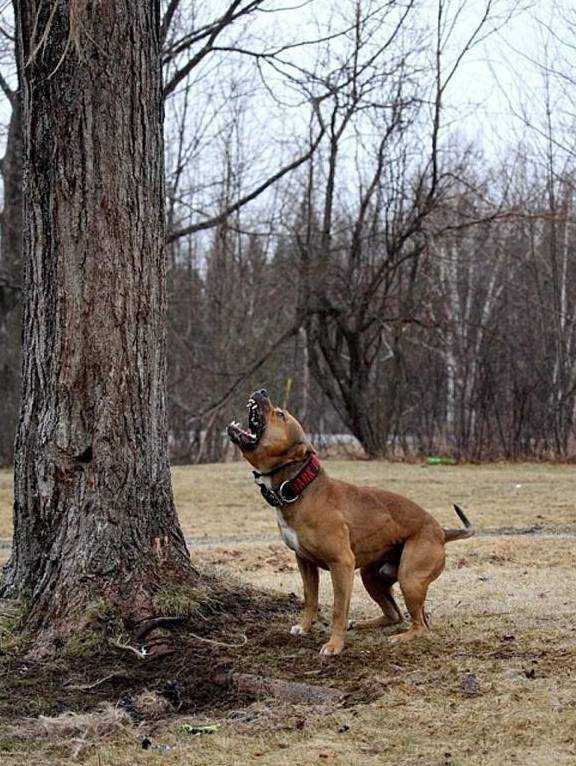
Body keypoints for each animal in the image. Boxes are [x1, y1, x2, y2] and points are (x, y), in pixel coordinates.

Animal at [227, 392, 474, 656]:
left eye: (280, 414)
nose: (261, 391)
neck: (299, 487)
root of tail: (441, 531)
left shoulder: (341, 564)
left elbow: (338, 608)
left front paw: (334, 645)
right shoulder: (304, 561)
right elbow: (310, 597)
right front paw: (304, 627)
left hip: (410, 578)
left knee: (421, 624)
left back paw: (402, 637)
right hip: (372, 577)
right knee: (395, 614)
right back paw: (365, 624)